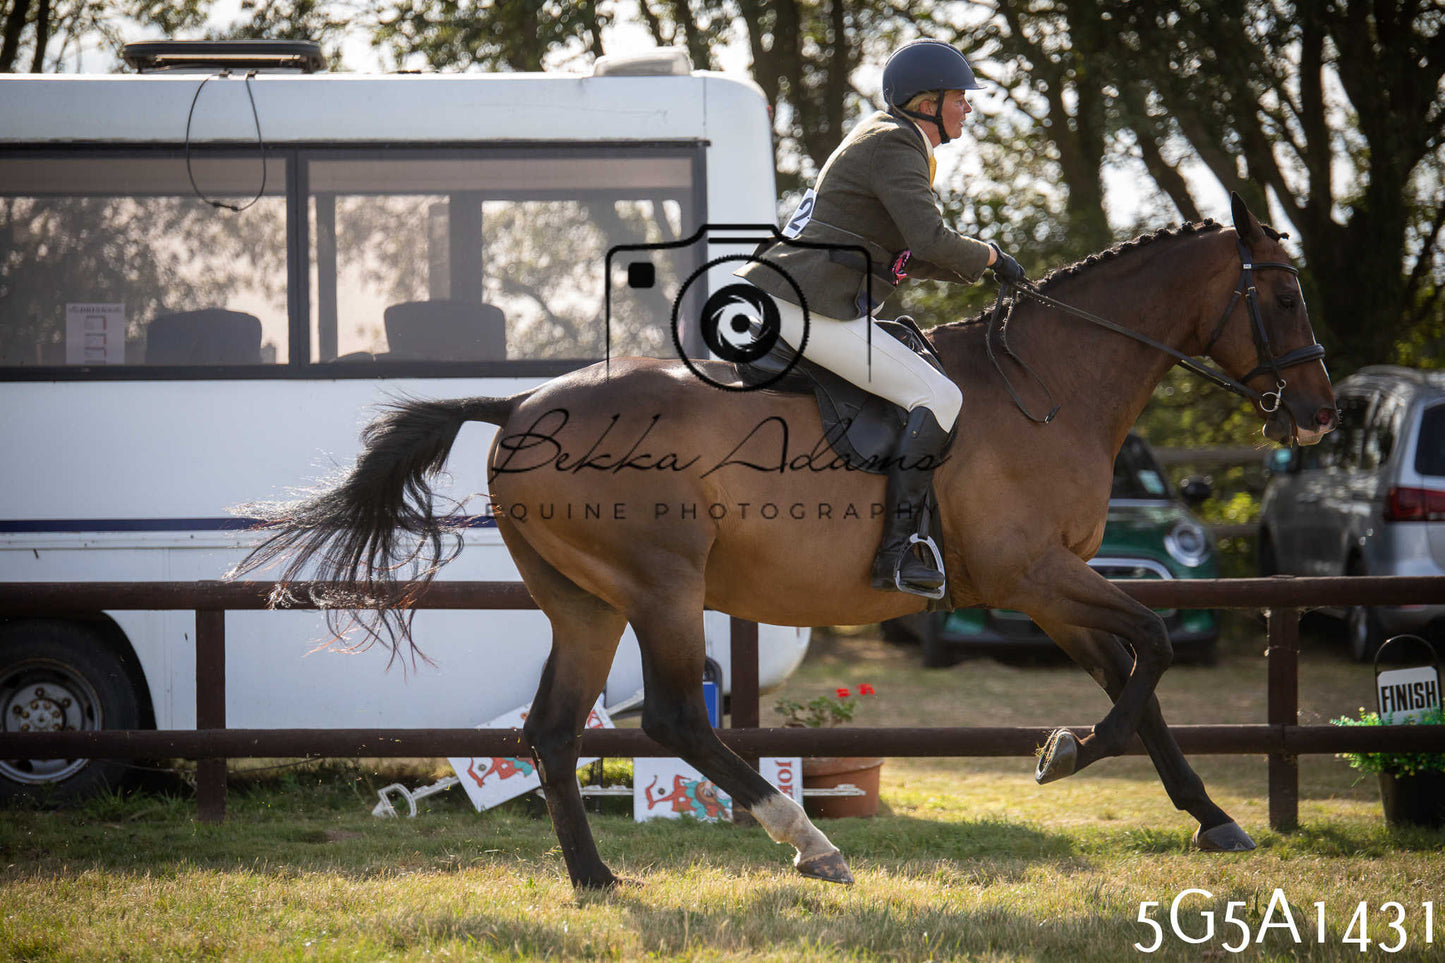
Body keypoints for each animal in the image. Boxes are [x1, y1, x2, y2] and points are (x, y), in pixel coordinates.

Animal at [232, 193, 1336, 889]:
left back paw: (598, 879)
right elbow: (1150, 651)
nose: (1321, 414)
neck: (1052, 384)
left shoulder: (1048, 588)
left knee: (550, 729)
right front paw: (1065, 754)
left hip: (583, 602)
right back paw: (808, 844)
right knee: (674, 719)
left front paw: (1208, 814)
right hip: (662, 588)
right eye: (1283, 296)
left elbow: (1135, 680)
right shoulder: (1034, 574)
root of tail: (521, 407)